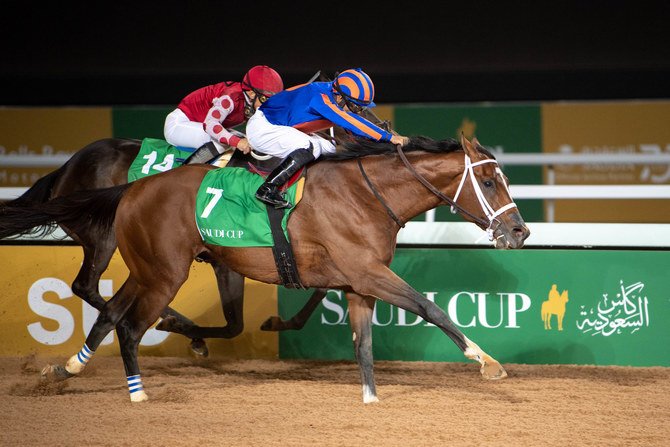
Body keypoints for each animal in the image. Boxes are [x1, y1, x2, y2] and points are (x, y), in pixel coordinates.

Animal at [0, 135, 532, 404]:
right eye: (489, 180)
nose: (520, 232)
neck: (366, 193)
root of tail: (131, 188)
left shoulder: (357, 280)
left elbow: (362, 343)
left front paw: (371, 399)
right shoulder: (368, 273)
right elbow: (428, 306)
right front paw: (488, 362)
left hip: (147, 267)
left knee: (109, 310)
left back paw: (66, 368)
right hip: (159, 269)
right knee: (125, 322)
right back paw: (137, 392)